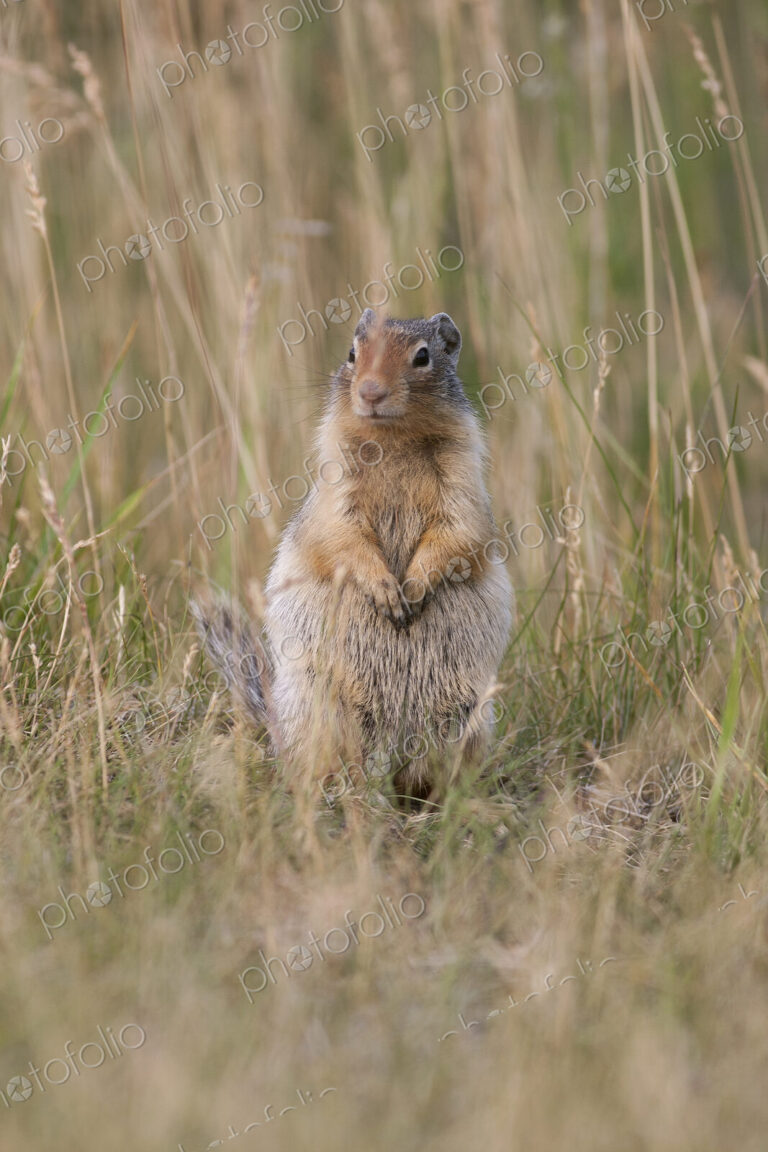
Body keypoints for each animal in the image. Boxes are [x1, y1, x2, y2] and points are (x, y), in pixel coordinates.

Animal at [195, 308, 513, 797]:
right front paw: (387, 592)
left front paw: (413, 588)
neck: (393, 439)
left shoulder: (464, 484)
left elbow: (457, 534)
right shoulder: (334, 493)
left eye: (423, 356)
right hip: (320, 708)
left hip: (465, 716)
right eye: (351, 353)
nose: (370, 391)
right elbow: (343, 539)